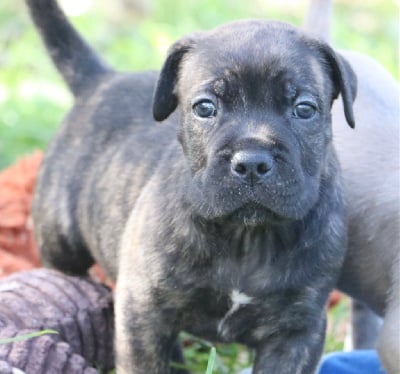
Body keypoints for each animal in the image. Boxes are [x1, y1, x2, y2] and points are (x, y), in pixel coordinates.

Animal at [28, 0, 356, 374]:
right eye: (205, 108)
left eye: (304, 109)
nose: (252, 161)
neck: (247, 237)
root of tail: (101, 81)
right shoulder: (143, 311)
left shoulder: (295, 332)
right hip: (60, 242)